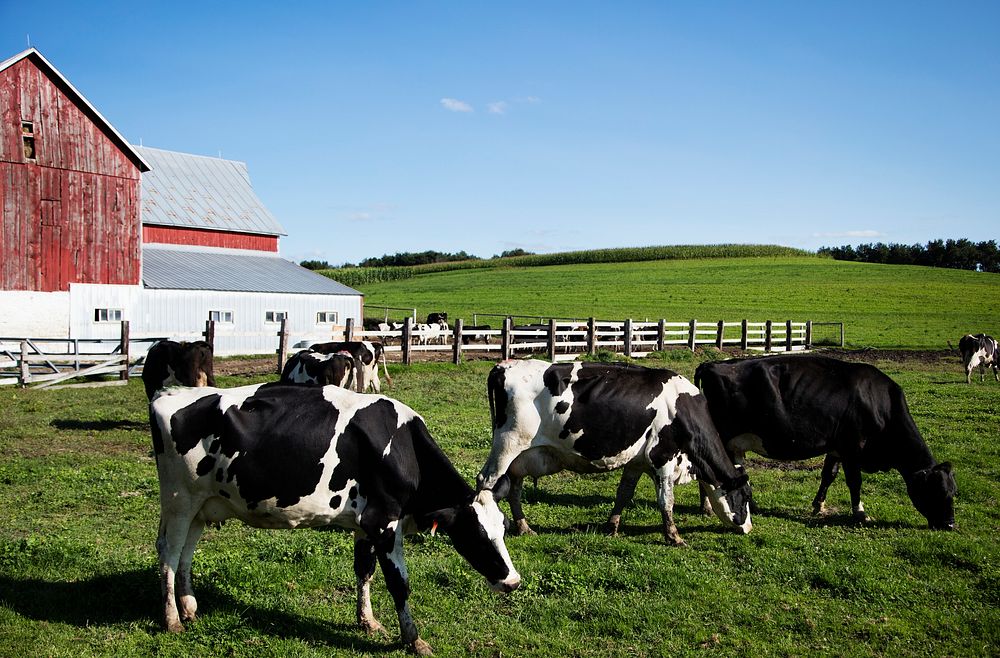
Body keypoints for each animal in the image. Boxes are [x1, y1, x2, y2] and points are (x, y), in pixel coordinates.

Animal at [152, 382, 524, 652]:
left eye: (504, 529)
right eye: (475, 534)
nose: (513, 582)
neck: (402, 447)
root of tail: (169, 393)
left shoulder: (365, 523)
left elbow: (364, 571)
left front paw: (367, 621)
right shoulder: (384, 521)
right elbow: (399, 583)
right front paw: (413, 639)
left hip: (201, 506)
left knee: (185, 553)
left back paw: (189, 607)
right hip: (179, 501)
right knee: (169, 553)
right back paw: (171, 619)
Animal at [476, 358, 752, 544]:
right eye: (746, 497)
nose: (748, 528)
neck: (681, 408)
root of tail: (503, 366)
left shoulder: (636, 462)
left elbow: (623, 494)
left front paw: (612, 526)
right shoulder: (663, 456)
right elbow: (666, 500)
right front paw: (674, 537)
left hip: (519, 455)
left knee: (514, 487)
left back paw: (524, 527)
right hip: (507, 445)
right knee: (487, 481)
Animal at [692, 354, 956, 528]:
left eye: (954, 491)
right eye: (938, 491)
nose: (950, 524)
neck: (881, 403)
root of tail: (712, 364)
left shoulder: (836, 447)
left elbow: (829, 475)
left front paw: (818, 505)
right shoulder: (852, 447)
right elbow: (854, 482)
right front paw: (860, 513)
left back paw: (749, 505)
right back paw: (707, 507)